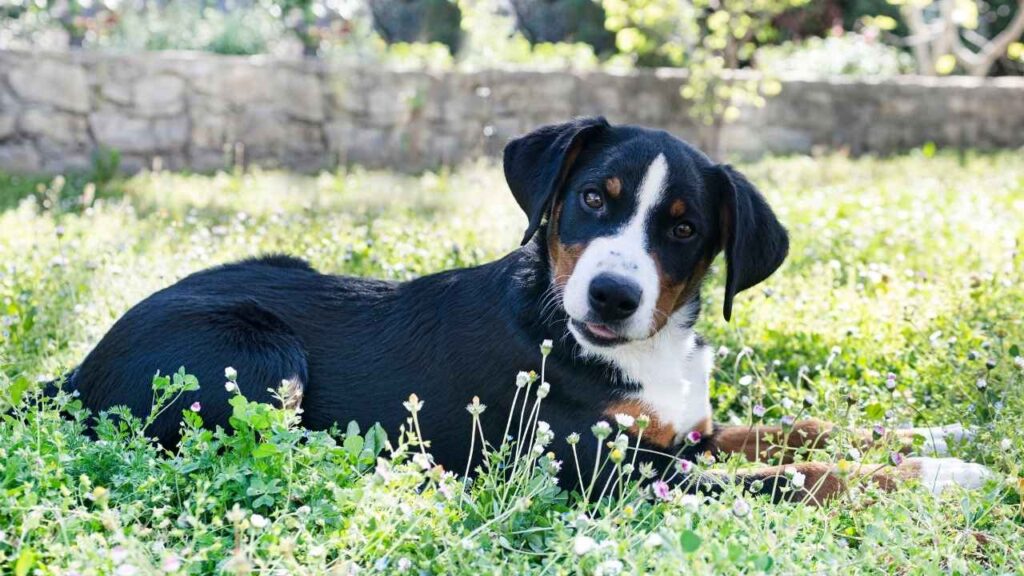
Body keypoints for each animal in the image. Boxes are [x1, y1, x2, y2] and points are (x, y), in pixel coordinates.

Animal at [58, 116, 991, 502]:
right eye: (591, 198)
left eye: (684, 228)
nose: (612, 295)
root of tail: (73, 371)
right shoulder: (602, 465)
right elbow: (796, 473)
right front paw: (943, 479)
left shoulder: (676, 431)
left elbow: (794, 430)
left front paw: (941, 437)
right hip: (259, 352)